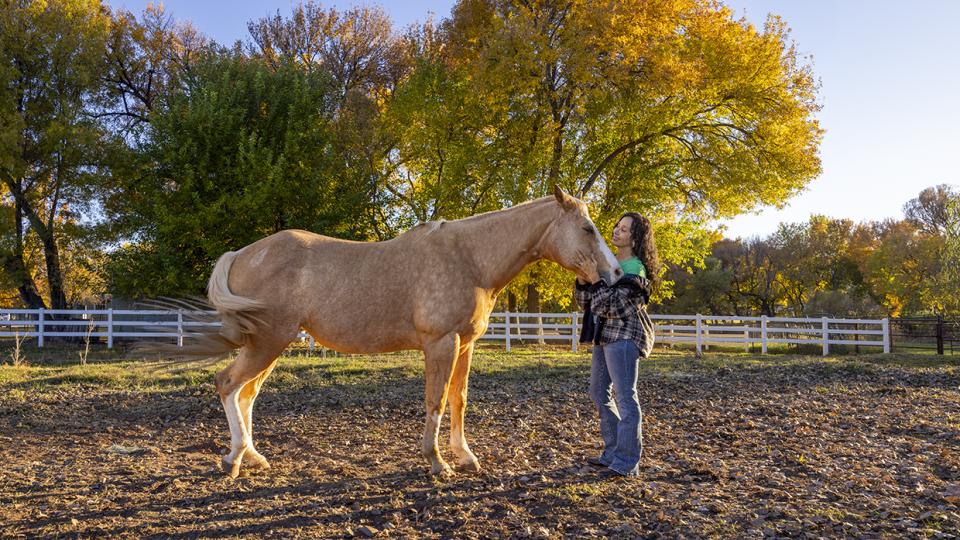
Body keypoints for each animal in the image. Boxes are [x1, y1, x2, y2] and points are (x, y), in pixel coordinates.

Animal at [189, 186, 621, 478]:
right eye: (587, 228)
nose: (616, 272)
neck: (470, 259)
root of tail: (240, 254)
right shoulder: (441, 343)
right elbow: (436, 401)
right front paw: (437, 462)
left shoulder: (465, 345)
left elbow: (458, 399)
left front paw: (465, 456)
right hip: (268, 342)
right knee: (228, 385)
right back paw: (233, 458)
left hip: (272, 345)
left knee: (246, 395)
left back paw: (252, 456)